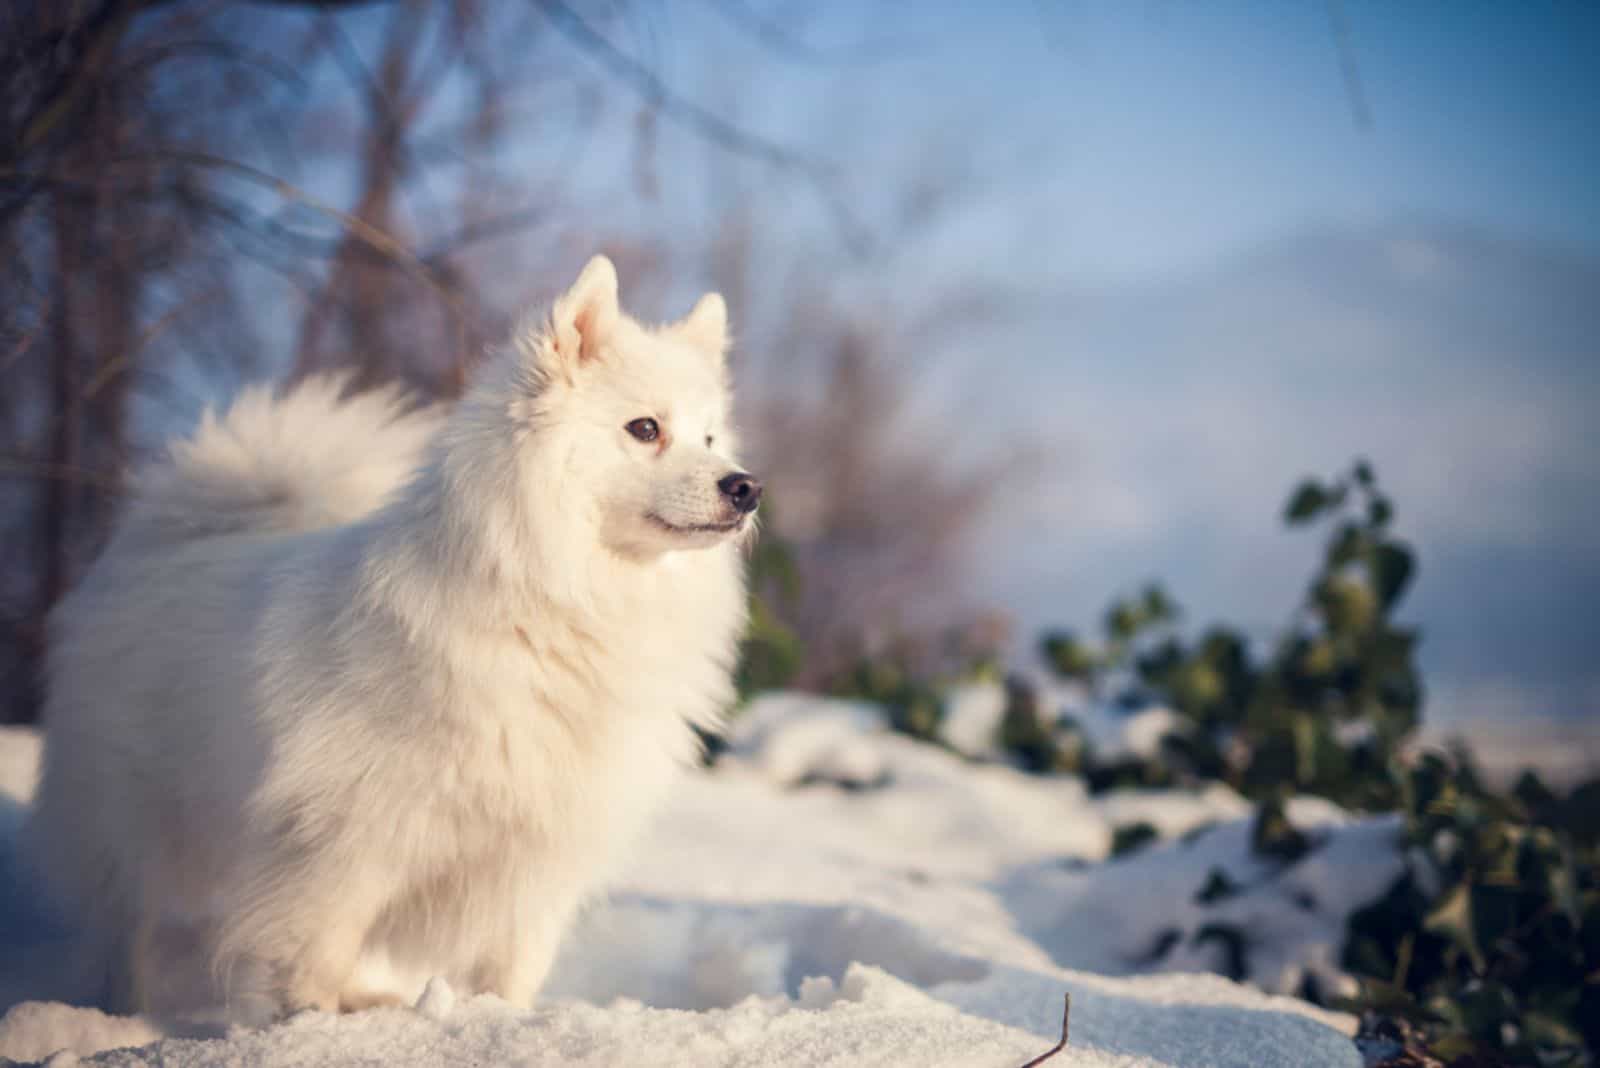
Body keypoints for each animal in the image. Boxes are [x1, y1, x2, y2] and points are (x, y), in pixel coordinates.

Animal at [18, 259, 755, 1023]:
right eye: (645, 428)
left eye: (709, 440)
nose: (745, 487)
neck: (561, 609)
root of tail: (163, 541)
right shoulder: (345, 842)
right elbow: (311, 956)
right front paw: (308, 1026)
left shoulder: (538, 855)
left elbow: (512, 970)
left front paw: (501, 1022)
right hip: (142, 826)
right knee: (131, 929)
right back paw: (126, 1016)